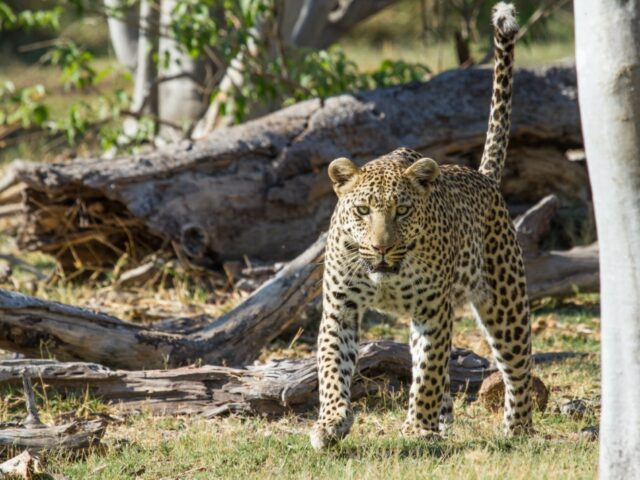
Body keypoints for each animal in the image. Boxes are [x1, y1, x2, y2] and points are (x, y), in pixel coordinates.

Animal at [308, 1, 528, 450]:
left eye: (403, 211)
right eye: (362, 211)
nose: (381, 248)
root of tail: (483, 177)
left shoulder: (432, 310)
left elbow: (428, 371)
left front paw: (416, 429)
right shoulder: (340, 308)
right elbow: (332, 368)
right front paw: (332, 421)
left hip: (505, 303)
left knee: (519, 370)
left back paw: (518, 431)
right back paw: (443, 421)